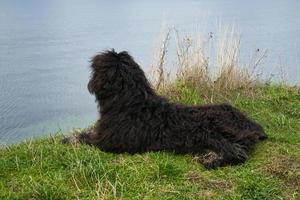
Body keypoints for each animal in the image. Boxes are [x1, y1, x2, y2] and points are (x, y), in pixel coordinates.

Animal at [63, 50, 268, 169]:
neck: (130, 102)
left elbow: (84, 138)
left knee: (237, 153)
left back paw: (213, 161)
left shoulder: (110, 142)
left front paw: (69, 139)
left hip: (205, 130)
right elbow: (86, 133)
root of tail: (251, 124)